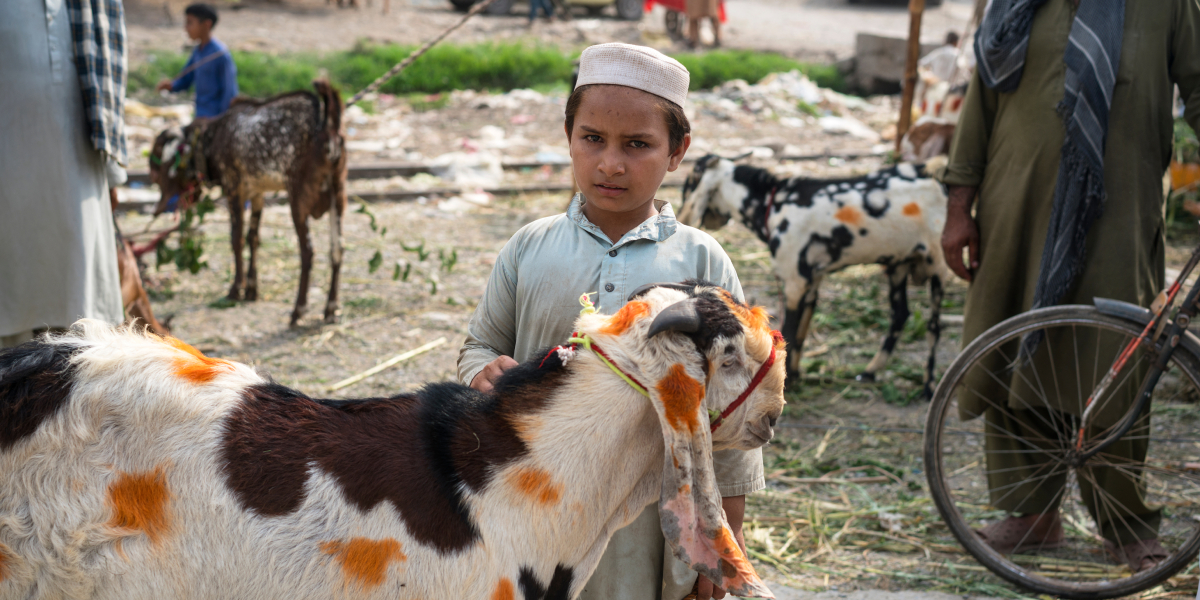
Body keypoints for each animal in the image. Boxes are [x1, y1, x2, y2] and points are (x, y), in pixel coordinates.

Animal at [148, 79, 348, 328]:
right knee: (337, 249)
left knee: (308, 252)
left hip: (298, 198)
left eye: (156, 161)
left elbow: (236, 239)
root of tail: (327, 124)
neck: (212, 137)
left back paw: (298, 310)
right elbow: (253, 238)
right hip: (338, 194)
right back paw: (331, 308)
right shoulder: (257, 194)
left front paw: (236, 289)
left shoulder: (234, 189)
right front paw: (252, 290)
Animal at [681, 154, 950, 396]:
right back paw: (870, 372)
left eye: (689, 183)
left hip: (937, 268)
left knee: (934, 326)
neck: (774, 204)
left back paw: (929, 386)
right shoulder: (811, 283)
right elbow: (800, 335)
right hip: (898, 266)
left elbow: (789, 333)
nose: (684, 218)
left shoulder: (794, 283)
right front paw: (794, 376)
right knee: (901, 314)